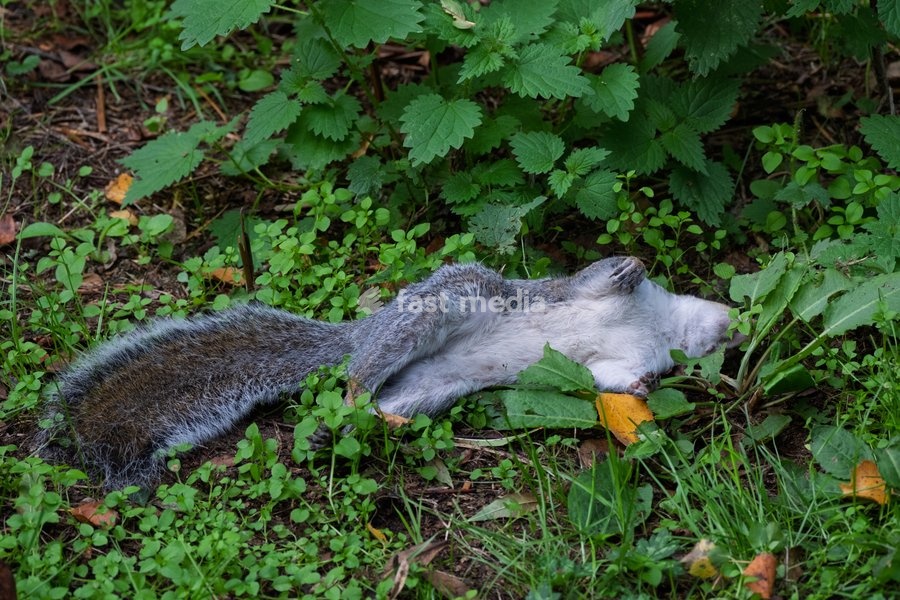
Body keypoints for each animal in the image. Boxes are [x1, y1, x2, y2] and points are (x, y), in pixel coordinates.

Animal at [35, 256, 740, 490]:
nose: (737, 327)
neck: (660, 328)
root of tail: (359, 338)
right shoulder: (577, 291)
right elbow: (587, 279)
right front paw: (628, 264)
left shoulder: (618, 365)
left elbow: (612, 385)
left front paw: (644, 394)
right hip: (441, 306)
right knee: (360, 374)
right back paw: (347, 396)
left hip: (429, 390)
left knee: (384, 404)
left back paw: (351, 428)